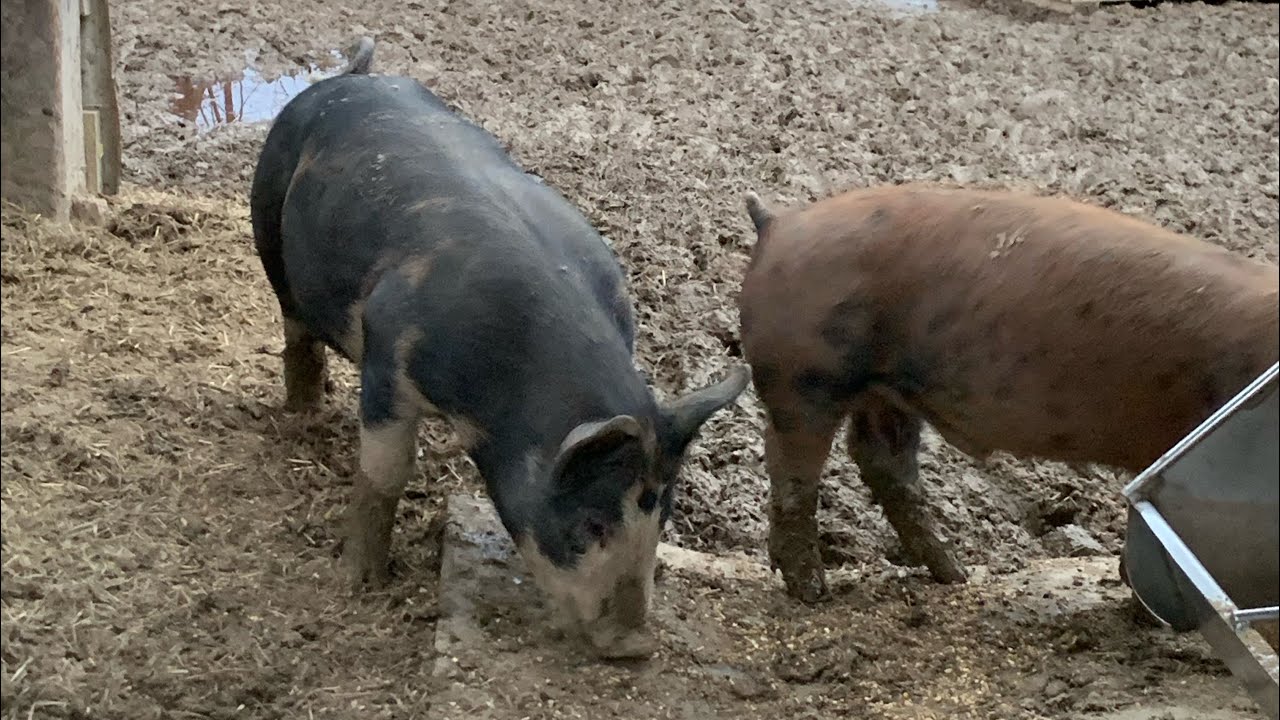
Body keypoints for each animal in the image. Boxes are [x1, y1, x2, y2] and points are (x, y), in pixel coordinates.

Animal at [249, 37, 749, 657]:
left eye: (663, 517)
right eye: (590, 525)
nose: (634, 645)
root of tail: (353, 76)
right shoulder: (389, 358)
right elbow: (385, 474)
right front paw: (360, 581)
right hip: (268, 222)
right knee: (293, 327)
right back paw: (304, 412)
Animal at [736, 183, 1279, 603]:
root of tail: (777, 223)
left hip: (884, 392)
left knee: (883, 463)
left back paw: (953, 576)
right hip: (806, 376)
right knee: (793, 468)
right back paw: (813, 592)